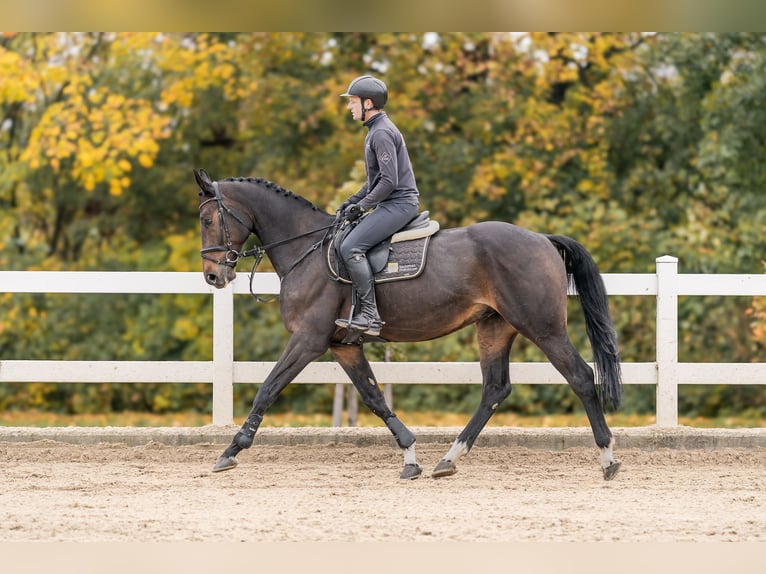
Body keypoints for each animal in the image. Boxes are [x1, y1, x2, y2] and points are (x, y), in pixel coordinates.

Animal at [194, 168, 623, 481]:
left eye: (207, 218)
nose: (214, 277)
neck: (306, 250)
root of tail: (542, 239)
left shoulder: (308, 340)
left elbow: (267, 389)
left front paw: (231, 450)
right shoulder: (343, 345)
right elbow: (374, 397)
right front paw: (410, 455)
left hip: (543, 328)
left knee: (581, 376)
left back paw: (607, 458)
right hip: (495, 327)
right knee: (495, 389)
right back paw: (449, 459)